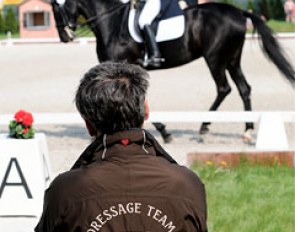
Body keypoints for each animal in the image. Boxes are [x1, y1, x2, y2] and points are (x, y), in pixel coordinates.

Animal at [51, 0, 295, 141]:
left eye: (56, 6)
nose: (65, 37)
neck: (112, 21)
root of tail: (239, 12)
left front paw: (165, 132)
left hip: (215, 58)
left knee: (224, 88)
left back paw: (204, 128)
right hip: (232, 59)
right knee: (244, 88)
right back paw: (247, 130)